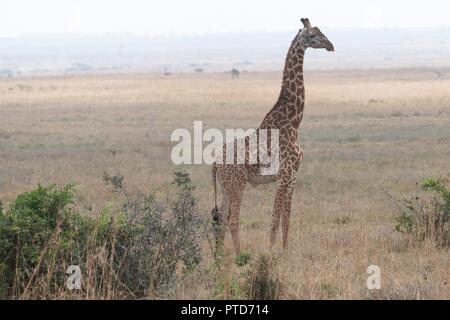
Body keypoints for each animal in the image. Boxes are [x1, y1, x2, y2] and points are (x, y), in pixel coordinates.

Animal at [211, 18, 334, 256]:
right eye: (313, 35)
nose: (331, 46)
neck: (293, 123)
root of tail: (215, 163)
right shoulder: (284, 176)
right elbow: (275, 219)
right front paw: (270, 252)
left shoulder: (293, 177)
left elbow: (287, 219)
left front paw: (286, 252)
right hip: (237, 184)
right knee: (233, 220)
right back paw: (240, 255)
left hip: (224, 186)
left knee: (221, 219)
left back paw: (219, 257)